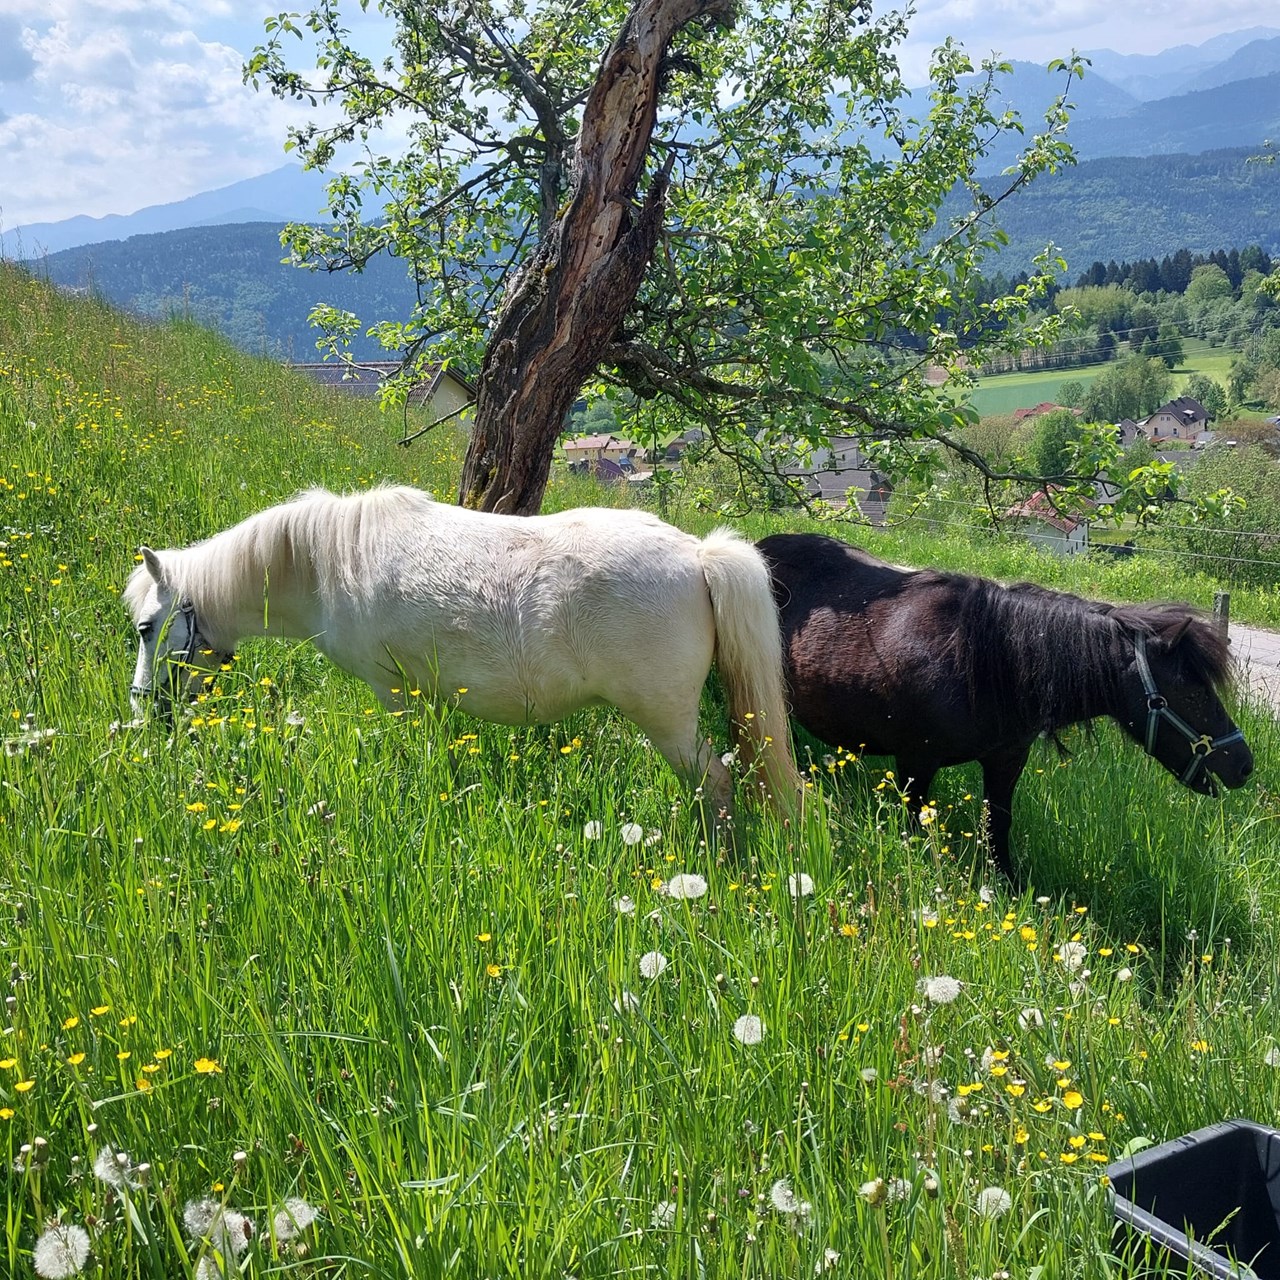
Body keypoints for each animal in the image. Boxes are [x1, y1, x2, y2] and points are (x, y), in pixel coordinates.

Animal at [123, 485, 802, 822]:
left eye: (146, 627)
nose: (143, 709)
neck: (325, 562)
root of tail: (697, 553)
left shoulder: (394, 691)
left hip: (668, 724)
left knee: (716, 785)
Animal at [757, 531, 1254, 880]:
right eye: (1190, 693)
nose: (1244, 764)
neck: (981, 661)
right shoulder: (916, 762)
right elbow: (914, 826)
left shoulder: (1007, 760)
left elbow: (998, 826)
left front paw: (1005, 888)